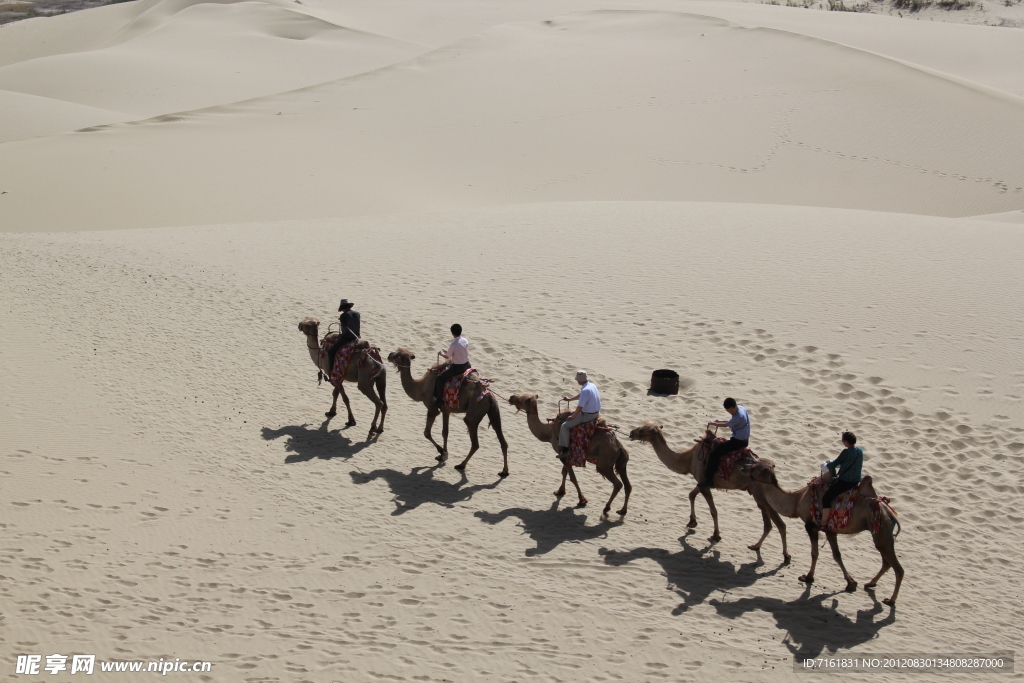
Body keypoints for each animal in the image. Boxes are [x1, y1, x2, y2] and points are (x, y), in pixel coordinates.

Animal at [626, 421, 786, 561]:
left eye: (643, 430)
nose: (631, 432)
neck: (688, 458)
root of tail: (771, 470)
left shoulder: (704, 482)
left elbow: (713, 511)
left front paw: (715, 535)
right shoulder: (702, 481)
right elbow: (691, 495)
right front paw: (692, 522)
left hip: (760, 494)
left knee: (780, 523)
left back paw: (785, 557)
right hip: (759, 495)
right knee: (768, 524)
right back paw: (756, 546)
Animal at [745, 464, 905, 602]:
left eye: (757, 466)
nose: (745, 467)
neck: (797, 500)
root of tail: (891, 515)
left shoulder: (811, 526)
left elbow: (814, 553)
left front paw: (808, 577)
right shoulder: (830, 531)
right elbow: (837, 556)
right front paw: (851, 583)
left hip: (881, 530)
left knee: (898, 568)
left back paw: (890, 600)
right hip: (882, 534)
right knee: (886, 561)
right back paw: (870, 583)